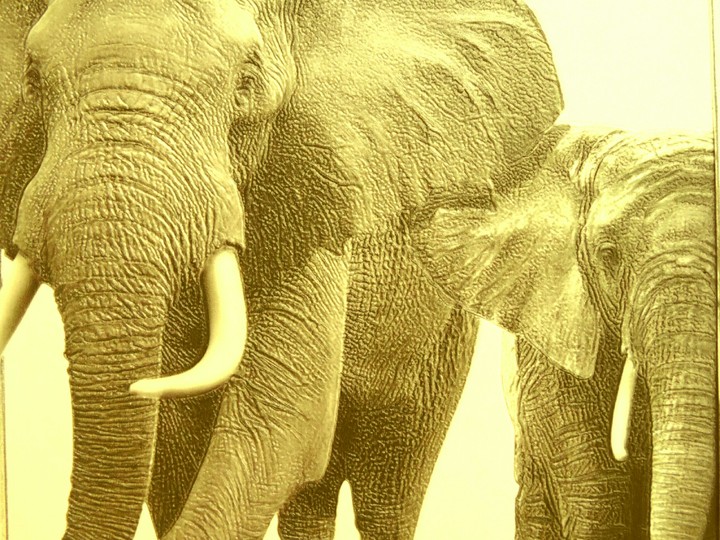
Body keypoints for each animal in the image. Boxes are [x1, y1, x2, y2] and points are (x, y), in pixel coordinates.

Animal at [0, 0, 563, 538]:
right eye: (32, 77)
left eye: (246, 85)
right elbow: (180, 451)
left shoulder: (320, 195)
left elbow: (282, 420)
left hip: (441, 333)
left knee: (388, 486)